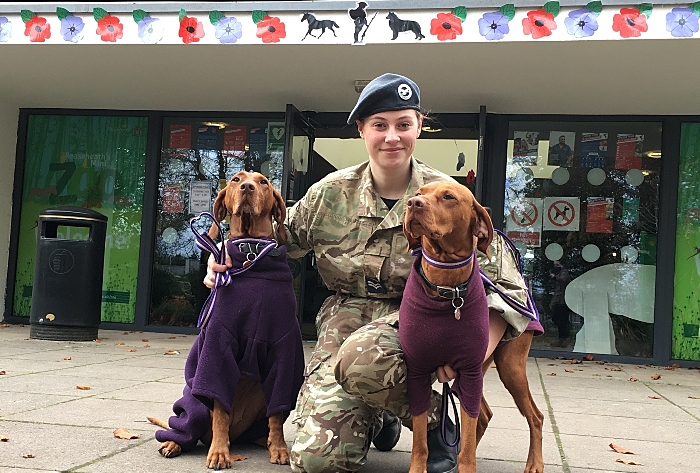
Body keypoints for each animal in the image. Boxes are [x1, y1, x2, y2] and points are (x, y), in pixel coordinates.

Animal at [153, 171, 300, 468]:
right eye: (235, 179)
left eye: (263, 181)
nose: (247, 187)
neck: (252, 253)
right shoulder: (218, 346)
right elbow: (220, 410)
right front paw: (220, 453)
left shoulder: (283, 347)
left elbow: (277, 414)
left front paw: (279, 448)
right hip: (195, 405)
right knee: (185, 426)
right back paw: (175, 443)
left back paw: (265, 442)